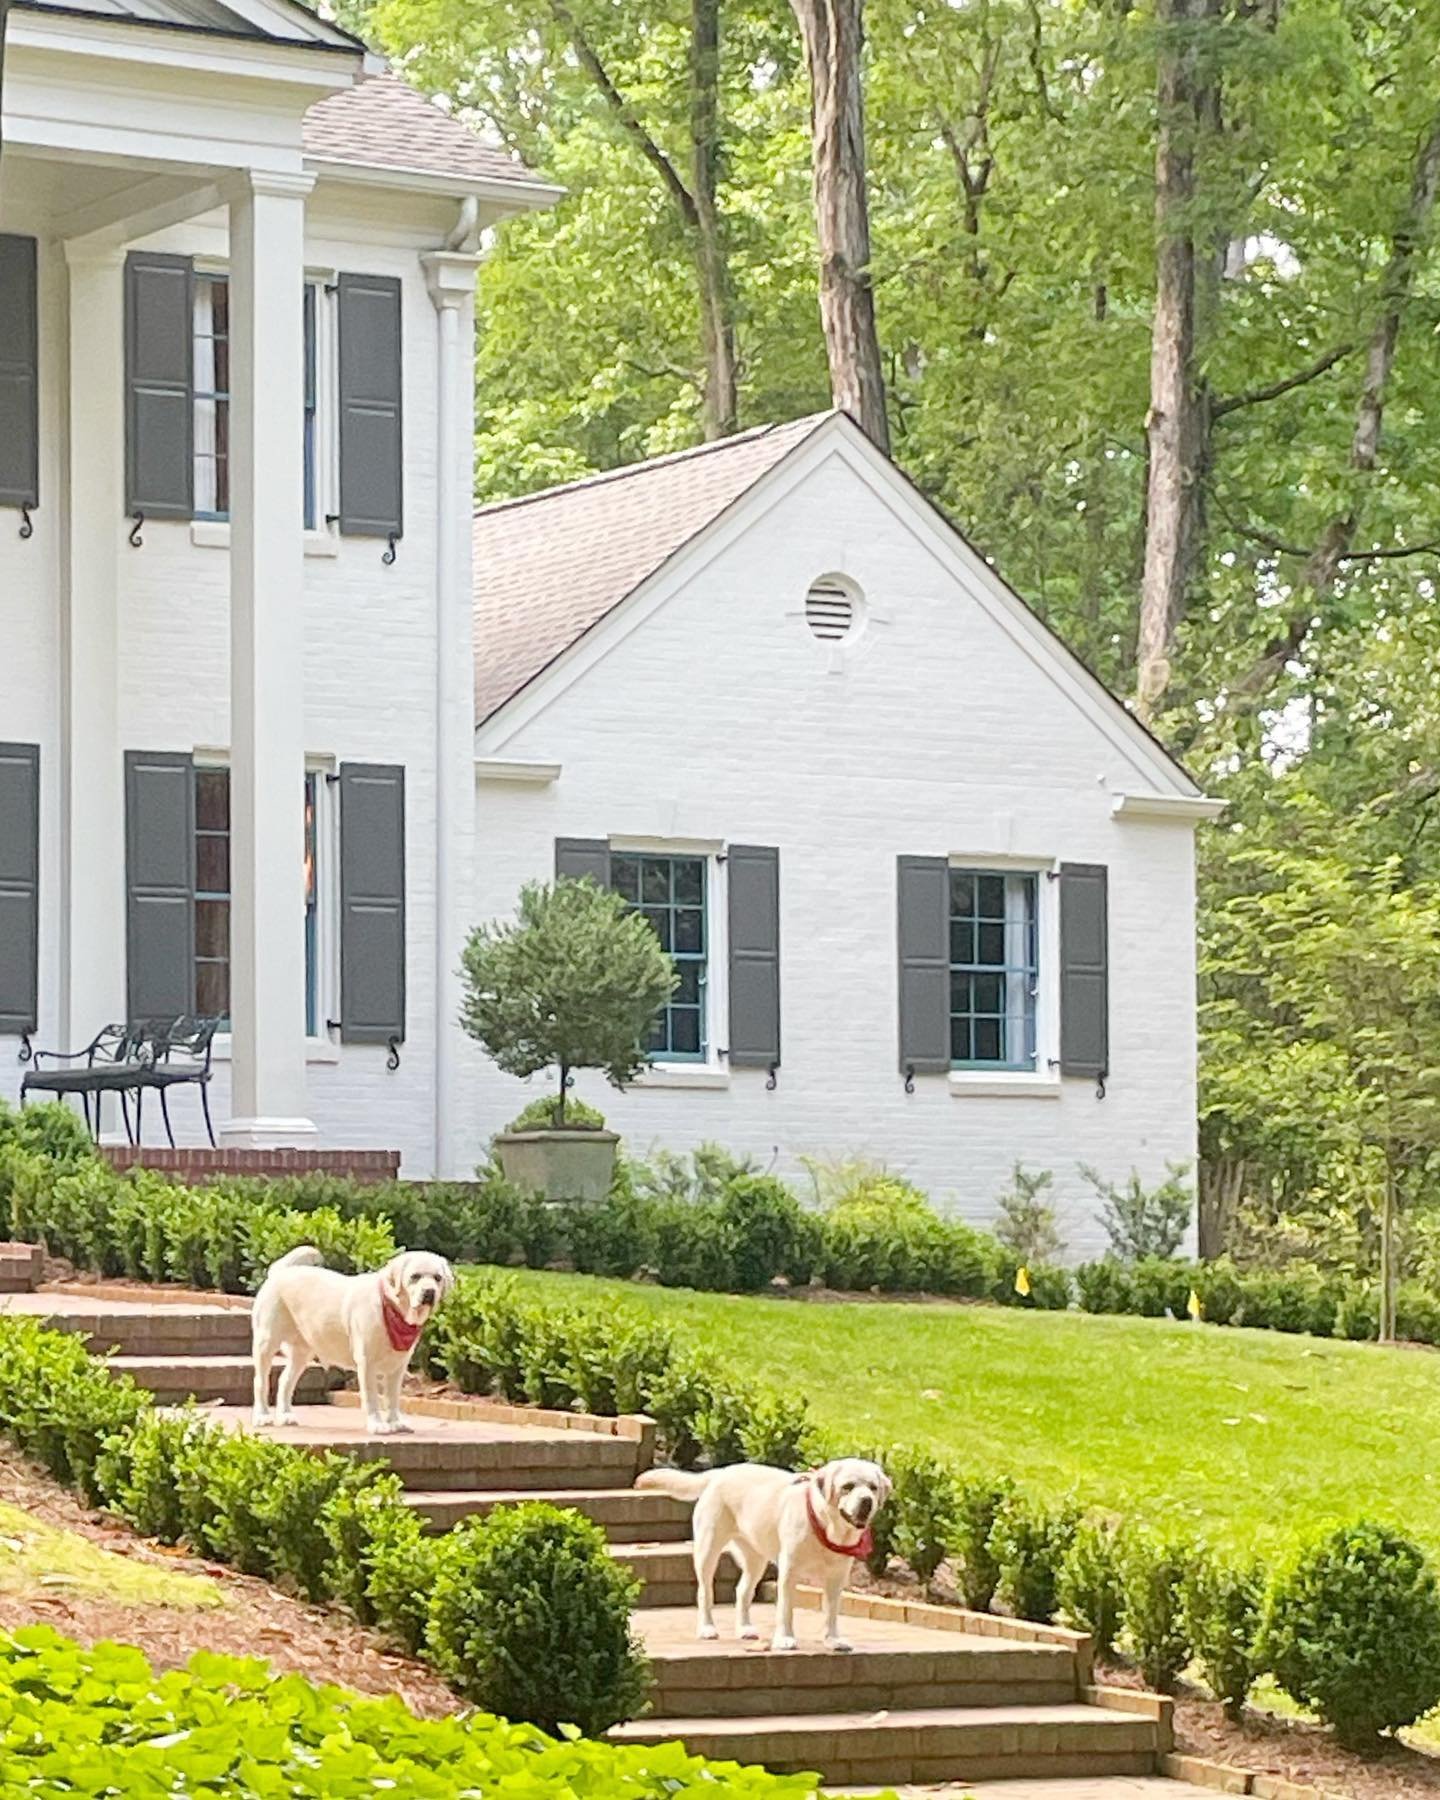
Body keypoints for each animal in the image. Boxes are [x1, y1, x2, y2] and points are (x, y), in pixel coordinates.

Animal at [248, 1252, 450, 1432]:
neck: (391, 1308)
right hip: (266, 1342)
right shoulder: (367, 1362)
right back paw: (262, 1416)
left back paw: (285, 1415)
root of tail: (279, 1272)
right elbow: (372, 1397)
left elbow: (392, 1397)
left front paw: (395, 1422)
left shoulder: (398, 1365)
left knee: (285, 1381)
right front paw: (376, 1424)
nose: (429, 1292)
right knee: (260, 1382)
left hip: (302, 1352)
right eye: (415, 1277)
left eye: (437, 1278)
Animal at [637, 1454, 889, 1648]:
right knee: (705, 1591)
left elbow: (832, 1612)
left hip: (755, 1559)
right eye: (848, 1487)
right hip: (708, 1549)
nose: (867, 1501)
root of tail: (720, 1472)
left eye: (873, 1488)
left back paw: (745, 1628)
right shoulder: (789, 1571)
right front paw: (785, 1639)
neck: (827, 1527)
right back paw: (707, 1628)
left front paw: (833, 1640)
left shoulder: (837, 1577)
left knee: (742, 1591)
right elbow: (785, 1609)